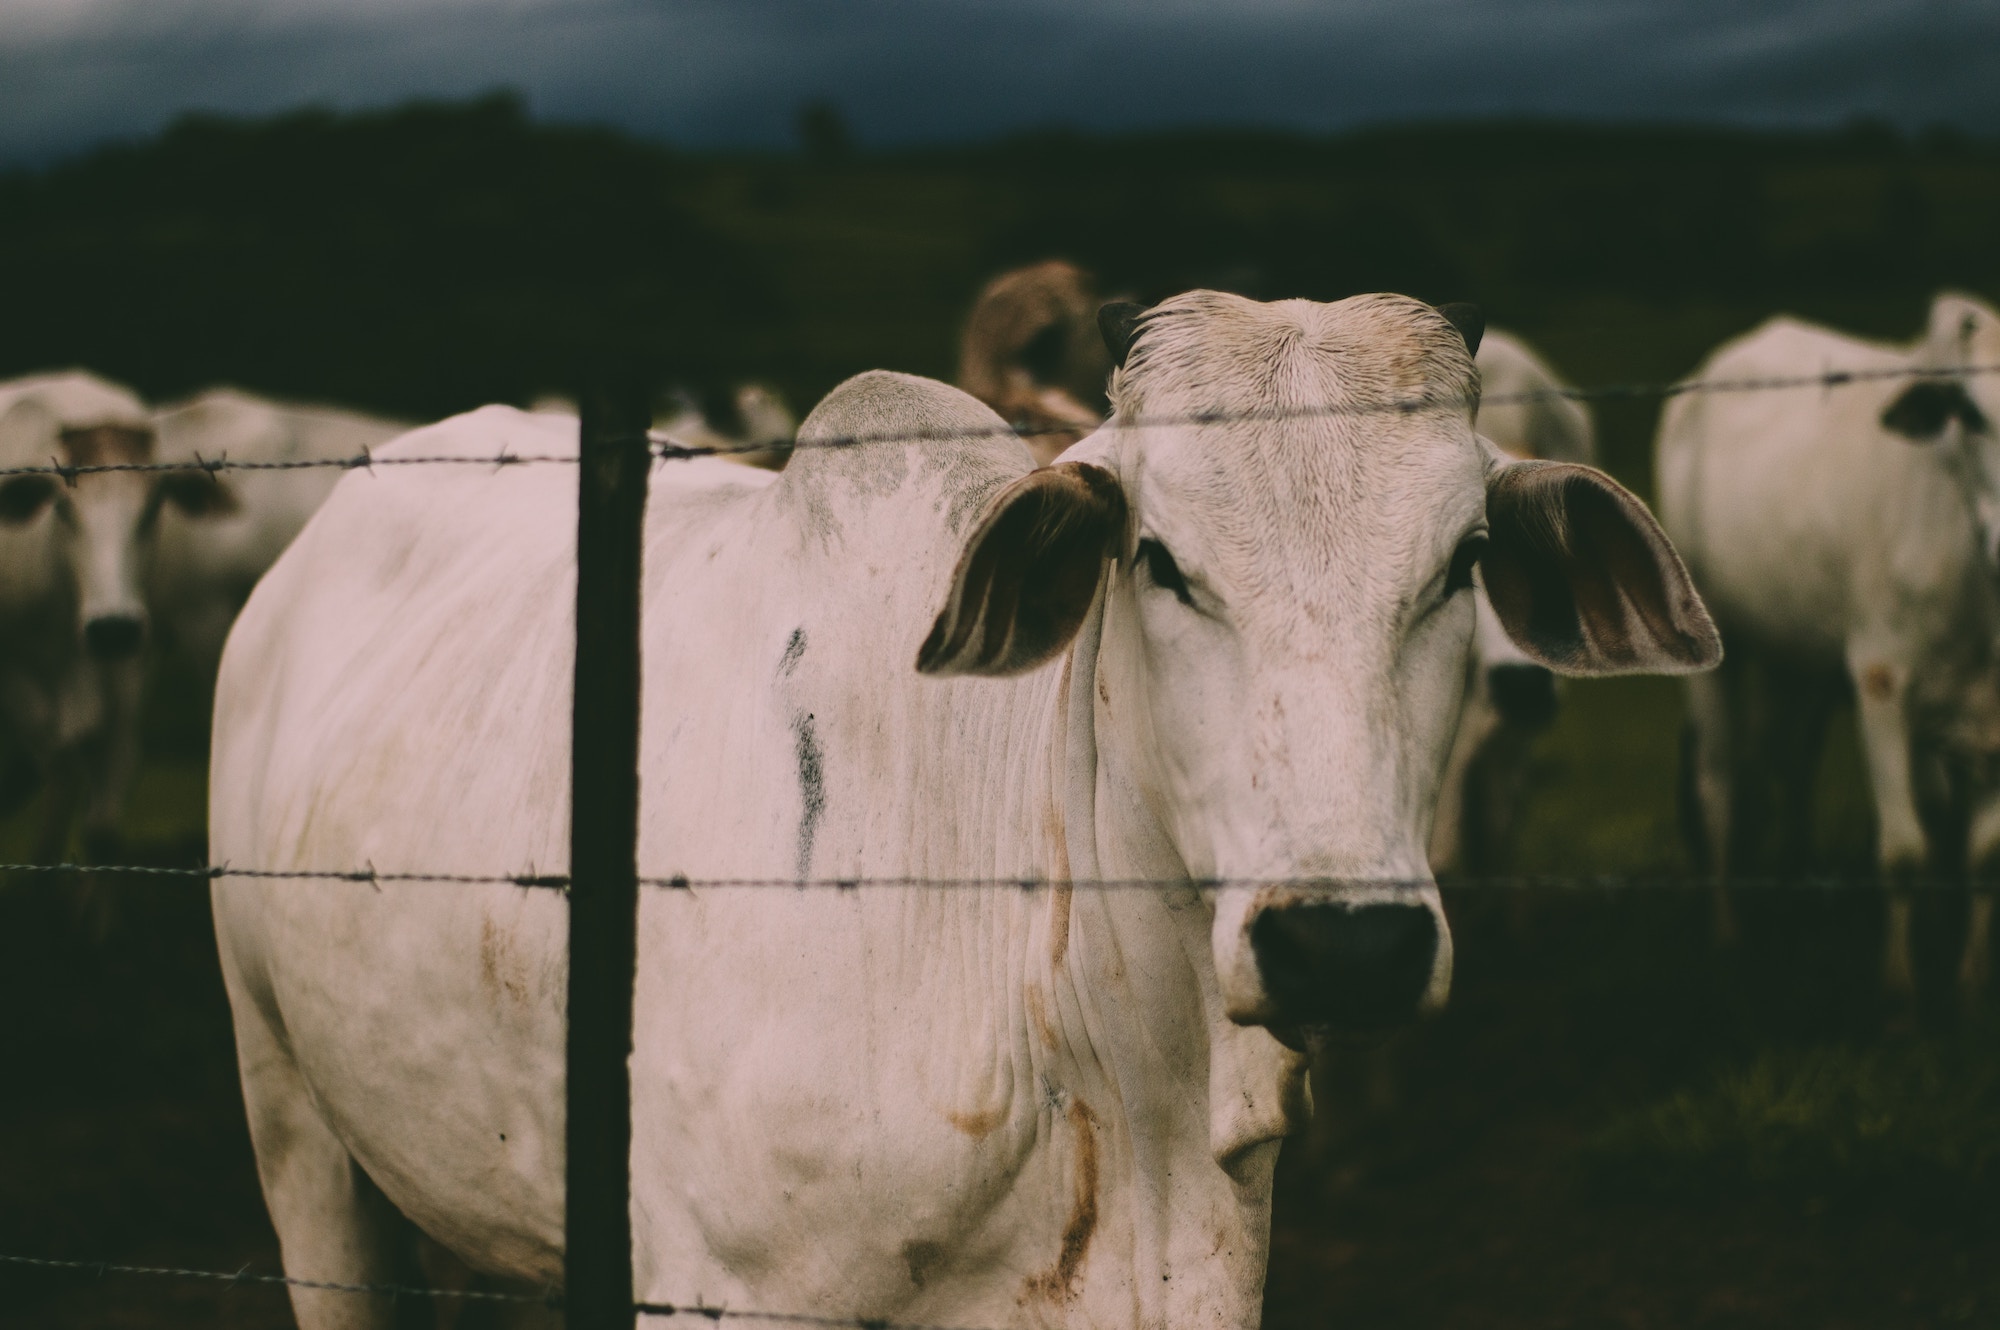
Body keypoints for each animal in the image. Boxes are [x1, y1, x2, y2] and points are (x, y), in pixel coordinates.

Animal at [0, 370, 156, 872]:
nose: (112, 628)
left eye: (152, 510)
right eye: (63, 510)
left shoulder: (130, 677)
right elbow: (62, 765)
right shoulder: (16, 675)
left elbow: (103, 827)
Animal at [1656, 286, 2000, 1000]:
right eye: (1972, 414)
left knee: (1784, 763)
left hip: (1797, 661)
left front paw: (1970, 983)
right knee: (1719, 783)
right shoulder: (1880, 679)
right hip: (1714, 652)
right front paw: (1900, 990)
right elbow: (1903, 850)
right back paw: (1728, 935)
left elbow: (1981, 853)